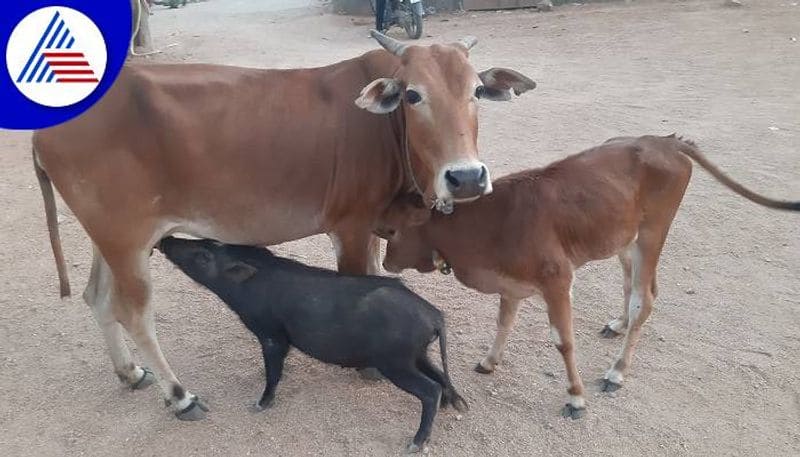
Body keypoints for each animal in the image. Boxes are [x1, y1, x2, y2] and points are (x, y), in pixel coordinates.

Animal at [34, 30, 540, 418]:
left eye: (476, 91)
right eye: (414, 95)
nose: (467, 177)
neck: (388, 133)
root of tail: (44, 132)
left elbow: (374, 275)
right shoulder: (350, 225)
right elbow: (356, 280)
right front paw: (367, 366)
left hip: (109, 236)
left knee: (97, 297)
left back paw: (130, 372)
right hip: (128, 239)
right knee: (135, 313)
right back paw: (179, 396)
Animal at [376, 134, 800, 418]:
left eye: (391, 232)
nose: (386, 264)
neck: (490, 223)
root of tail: (665, 141)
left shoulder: (557, 281)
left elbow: (563, 342)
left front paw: (576, 396)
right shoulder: (511, 285)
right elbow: (503, 323)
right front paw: (490, 361)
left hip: (653, 232)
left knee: (645, 298)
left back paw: (616, 371)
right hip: (625, 238)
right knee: (635, 285)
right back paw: (619, 323)